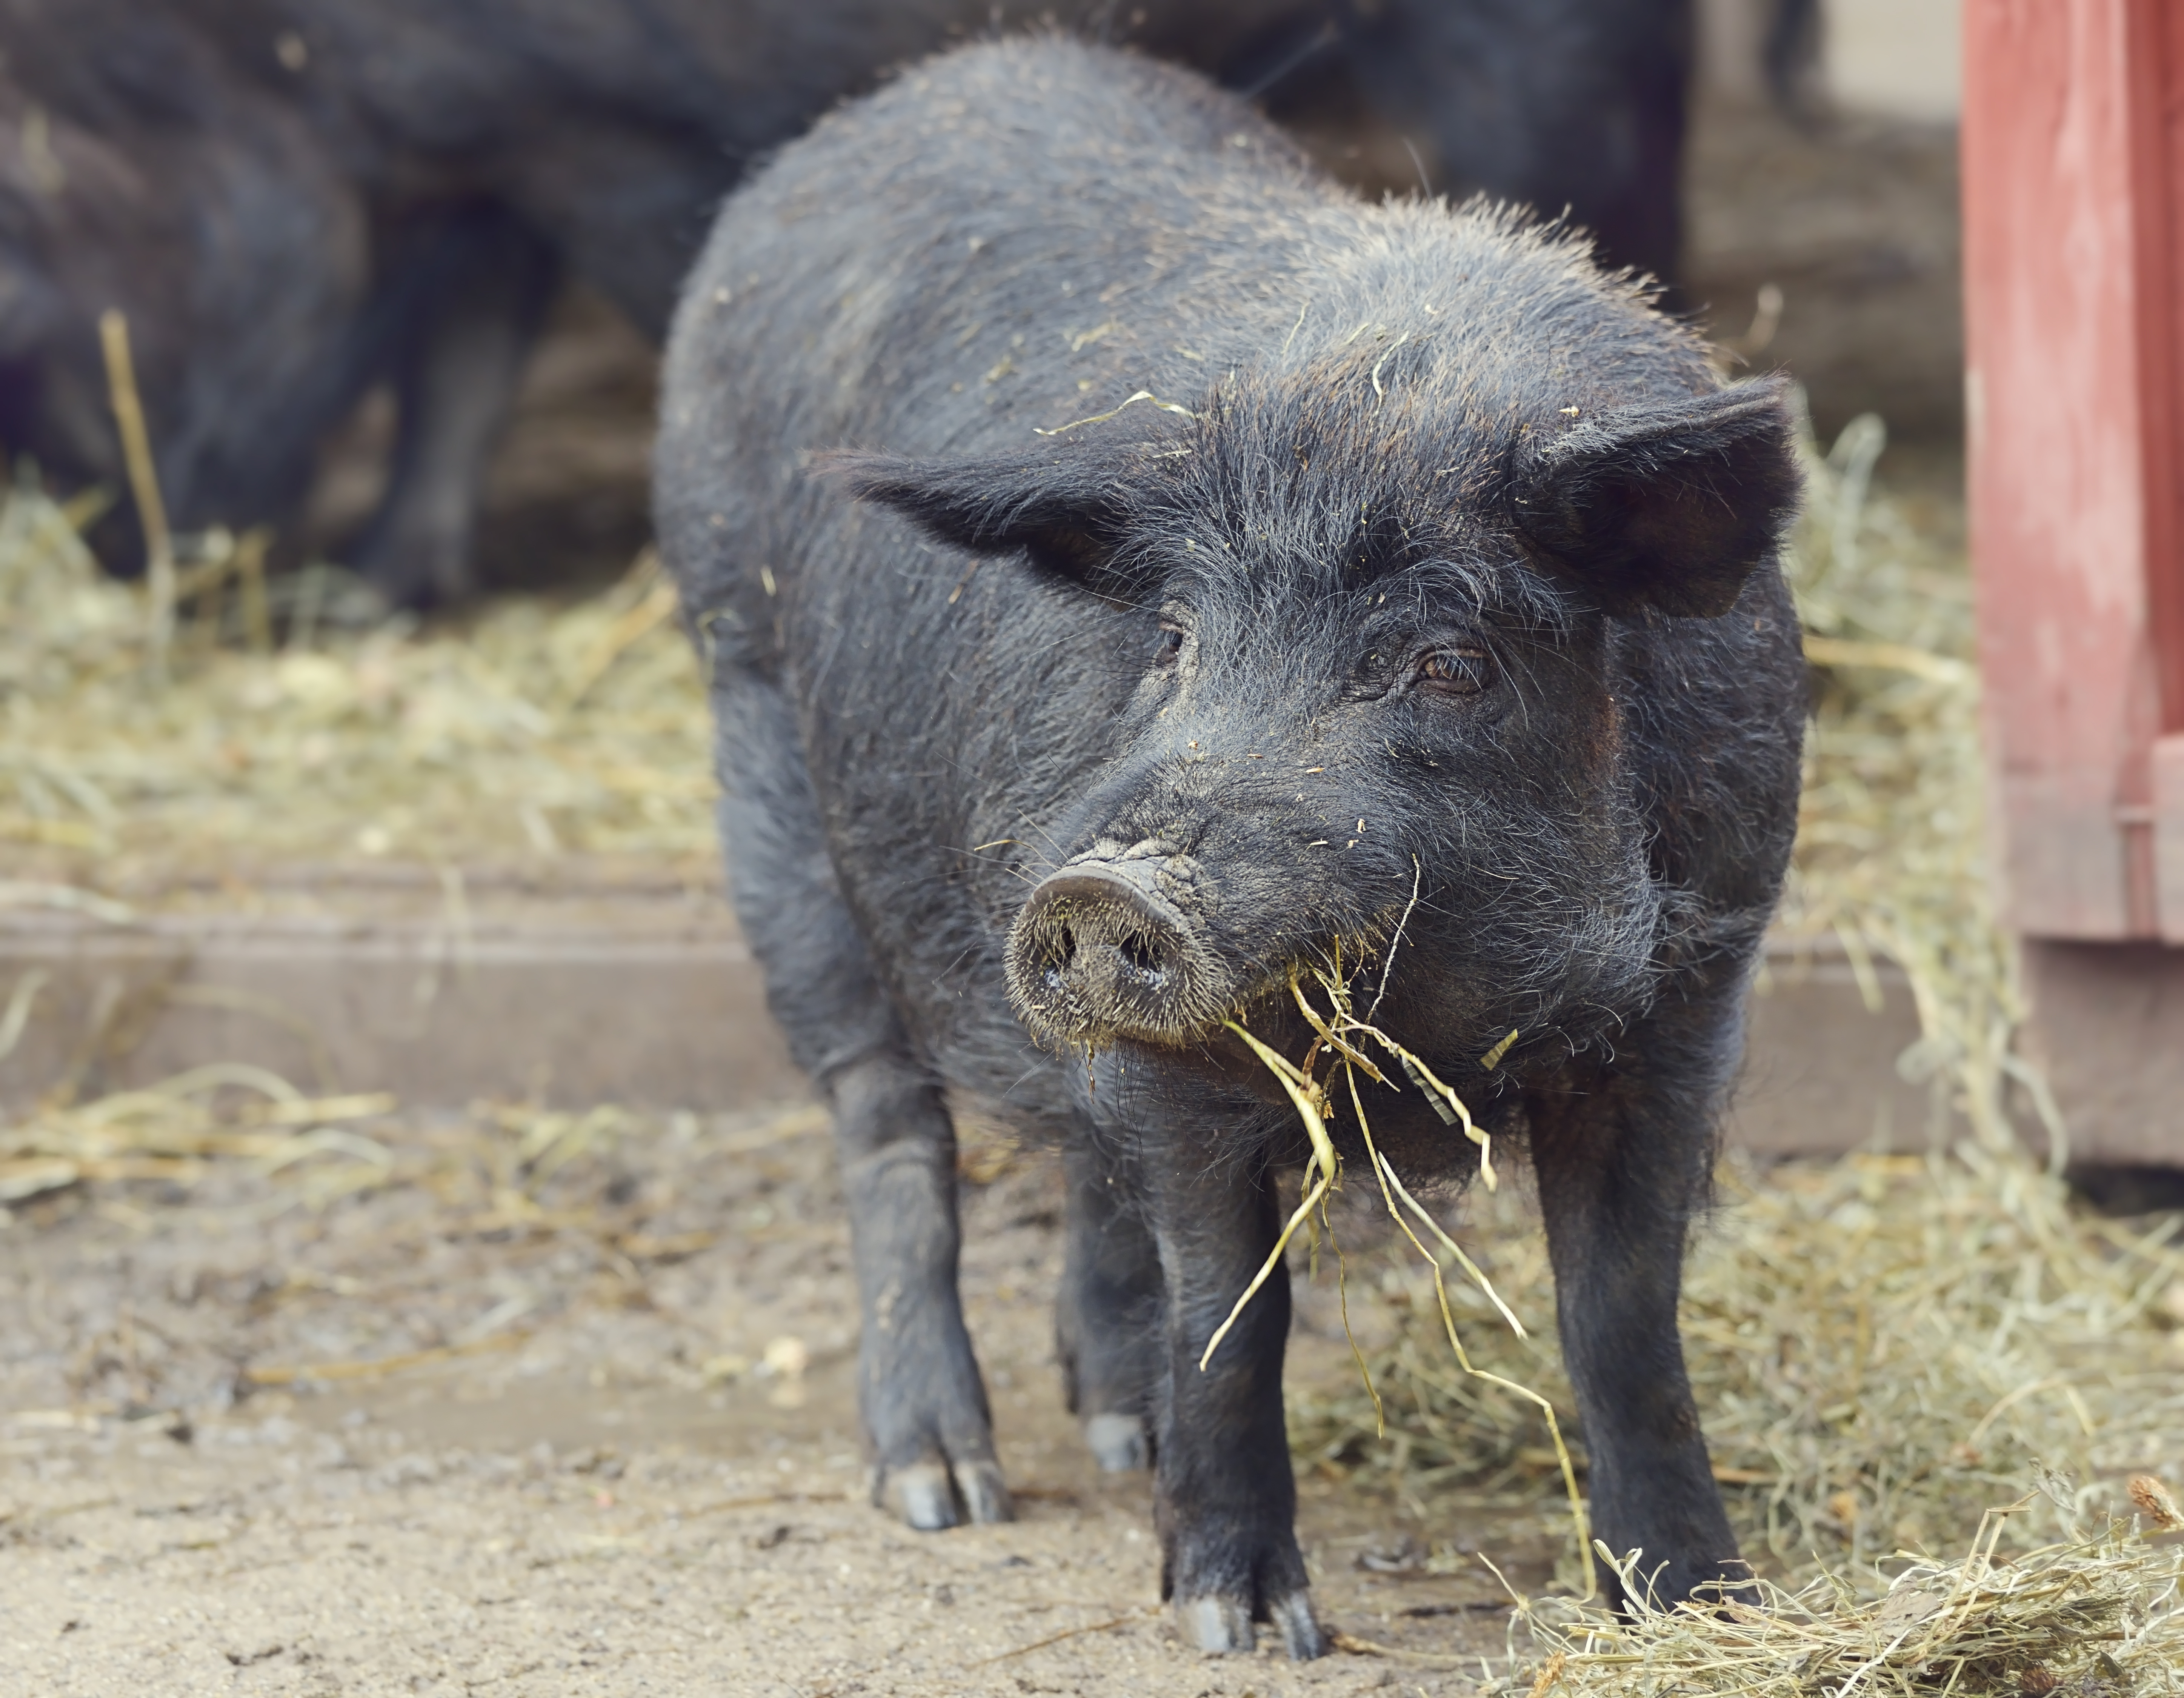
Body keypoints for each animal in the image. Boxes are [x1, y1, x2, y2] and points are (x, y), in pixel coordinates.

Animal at [651, 36, 1808, 1652]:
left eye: (1445, 662)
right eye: (1176, 640)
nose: (1094, 887)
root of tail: (888, 109)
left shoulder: (1694, 990)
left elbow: (1625, 1314)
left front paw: (1702, 1605)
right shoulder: (1187, 1071)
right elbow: (1232, 1313)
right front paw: (1243, 1625)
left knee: (1074, 1161)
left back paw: (1110, 1429)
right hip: (755, 735)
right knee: (886, 1124)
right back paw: (945, 1488)